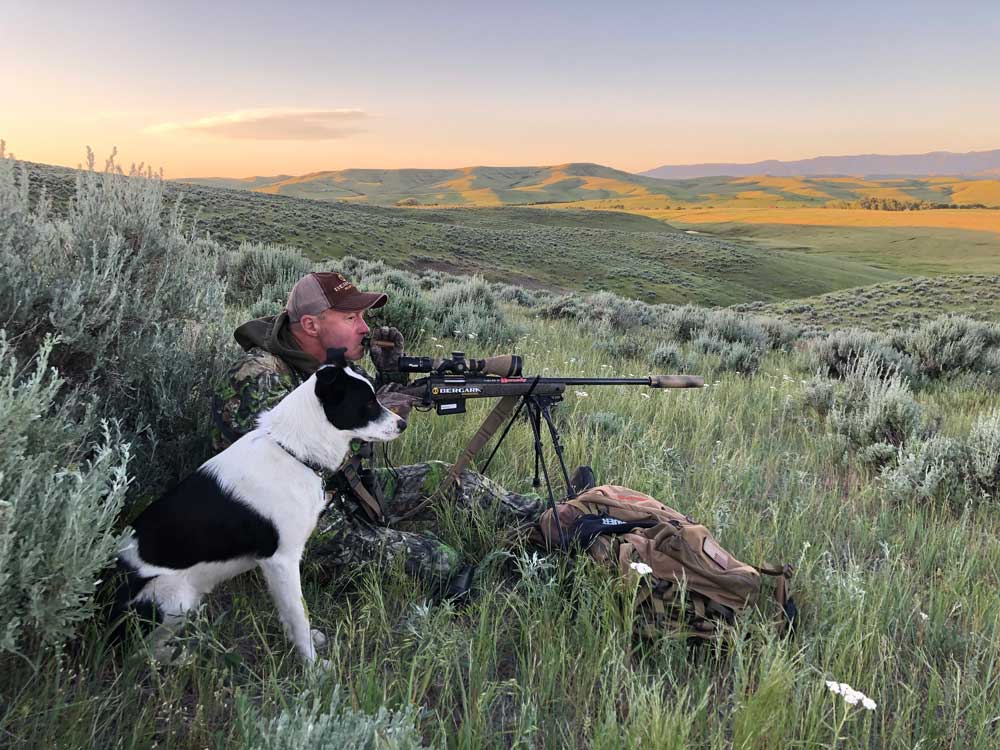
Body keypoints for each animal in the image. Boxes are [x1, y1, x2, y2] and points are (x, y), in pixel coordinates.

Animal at [111, 346, 404, 664]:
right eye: (369, 403)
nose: (403, 423)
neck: (293, 451)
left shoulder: (276, 567)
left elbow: (291, 614)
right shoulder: (282, 560)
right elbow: (298, 614)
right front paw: (313, 665)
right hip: (174, 597)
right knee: (139, 652)